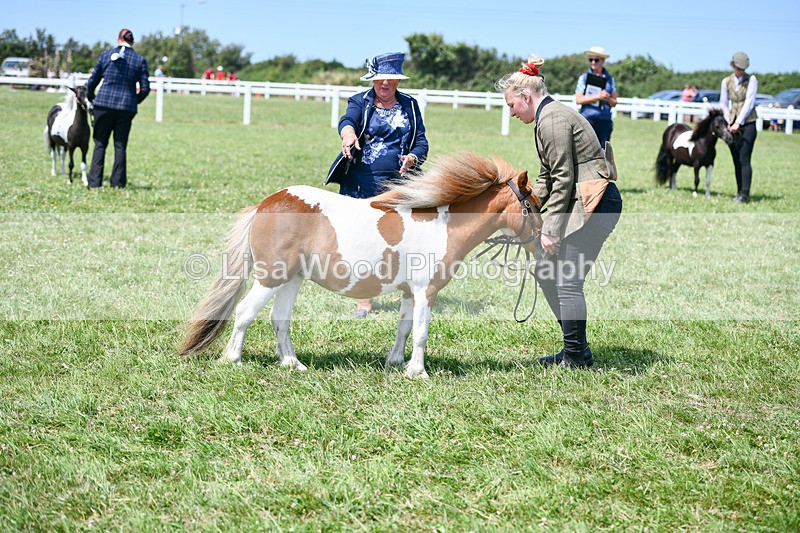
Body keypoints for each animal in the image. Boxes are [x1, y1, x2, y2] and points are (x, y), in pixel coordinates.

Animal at [179, 153, 542, 378]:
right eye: (534, 205)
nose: (545, 243)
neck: (443, 226)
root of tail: (266, 204)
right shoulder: (426, 292)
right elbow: (421, 333)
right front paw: (418, 372)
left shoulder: (409, 293)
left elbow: (404, 329)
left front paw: (396, 363)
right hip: (272, 277)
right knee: (244, 313)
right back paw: (234, 360)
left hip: (292, 279)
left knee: (279, 320)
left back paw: (293, 364)